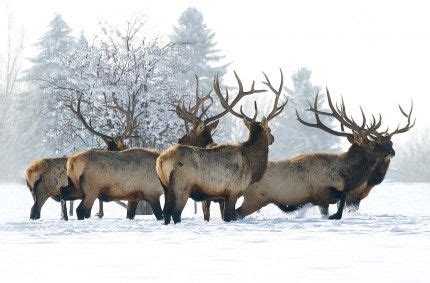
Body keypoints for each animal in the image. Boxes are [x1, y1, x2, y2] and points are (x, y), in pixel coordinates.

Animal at [156, 70, 288, 224]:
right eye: (269, 129)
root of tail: (161, 160)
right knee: (175, 213)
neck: (251, 164)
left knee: (166, 212)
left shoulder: (223, 196)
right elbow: (228, 217)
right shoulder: (232, 191)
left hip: (166, 187)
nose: (273, 138)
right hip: (182, 185)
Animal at [237, 90, 412, 221]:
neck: (346, 176)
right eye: (373, 144)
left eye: (391, 143)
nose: (391, 152)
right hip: (256, 198)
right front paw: (334, 216)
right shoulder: (322, 191)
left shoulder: (326, 200)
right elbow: (341, 198)